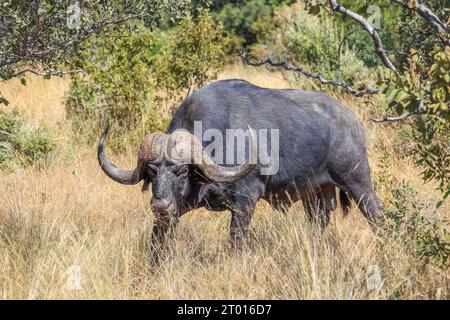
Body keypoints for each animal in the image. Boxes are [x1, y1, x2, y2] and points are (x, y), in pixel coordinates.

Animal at [97, 79, 384, 245]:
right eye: (152, 172)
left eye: (182, 171)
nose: (159, 205)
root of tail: (352, 121)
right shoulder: (178, 207)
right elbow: (157, 239)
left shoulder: (246, 200)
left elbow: (236, 239)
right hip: (315, 194)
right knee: (319, 221)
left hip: (357, 182)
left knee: (376, 212)